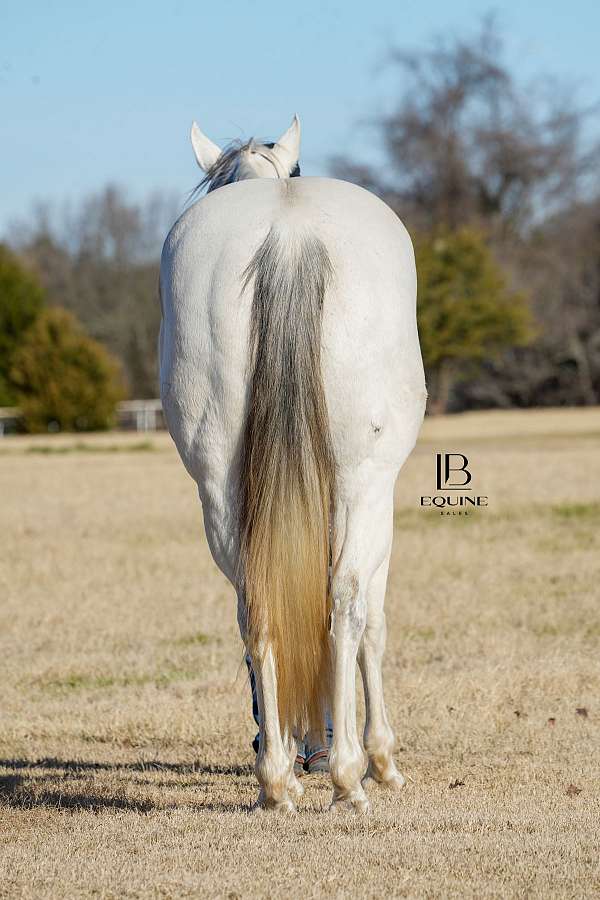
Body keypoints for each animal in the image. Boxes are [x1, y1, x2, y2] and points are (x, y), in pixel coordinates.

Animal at [157, 116, 424, 812]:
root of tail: (288, 235)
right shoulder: (382, 506)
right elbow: (372, 623)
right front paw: (382, 759)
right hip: (364, 481)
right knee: (347, 599)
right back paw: (348, 774)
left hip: (219, 482)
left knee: (255, 606)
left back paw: (276, 778)